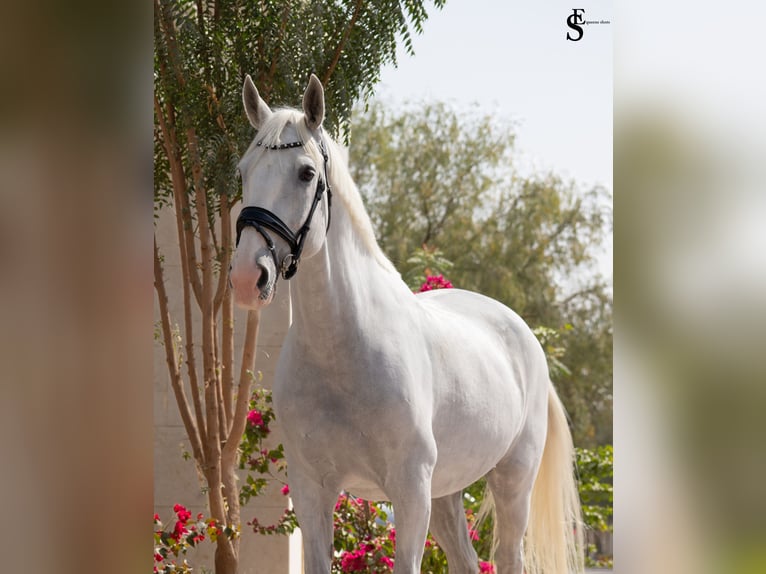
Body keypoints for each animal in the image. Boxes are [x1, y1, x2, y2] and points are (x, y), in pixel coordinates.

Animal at [229, 74, 584, 574]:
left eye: (306, 173)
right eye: (243, 171)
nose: (247, 277)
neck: (344, 351)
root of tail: (525, 337)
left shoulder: (410, 492)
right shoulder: (312, 489)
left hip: (511, 483)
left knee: (508, 554)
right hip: (447, 493)